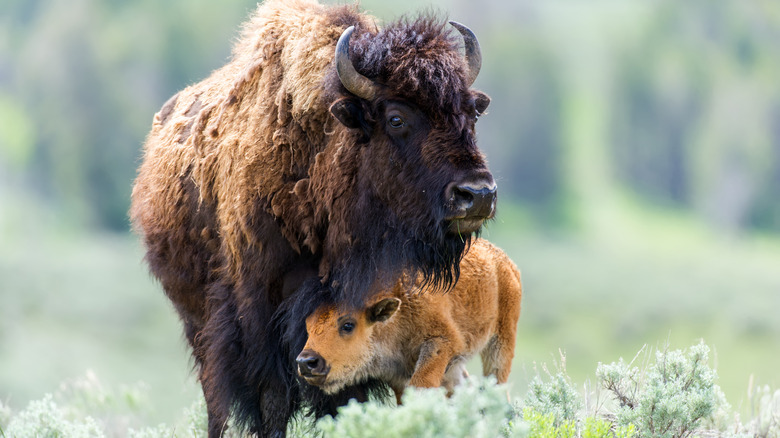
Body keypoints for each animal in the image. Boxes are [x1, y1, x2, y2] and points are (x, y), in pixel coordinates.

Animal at [128, 0, 494, 436]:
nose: (477, 194)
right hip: (198, 321)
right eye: (396, 118)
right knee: (216, 396)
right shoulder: (260, 312)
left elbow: (348, 384)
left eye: (471, 114)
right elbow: (272, 398)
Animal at [296, 240, 520, 404]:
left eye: (348, 325)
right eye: (308, 326)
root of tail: (506, 263)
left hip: (501, 342)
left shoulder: (442, 342)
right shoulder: (397, 375)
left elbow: (421, 386)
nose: (306, 362)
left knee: (497, 382)